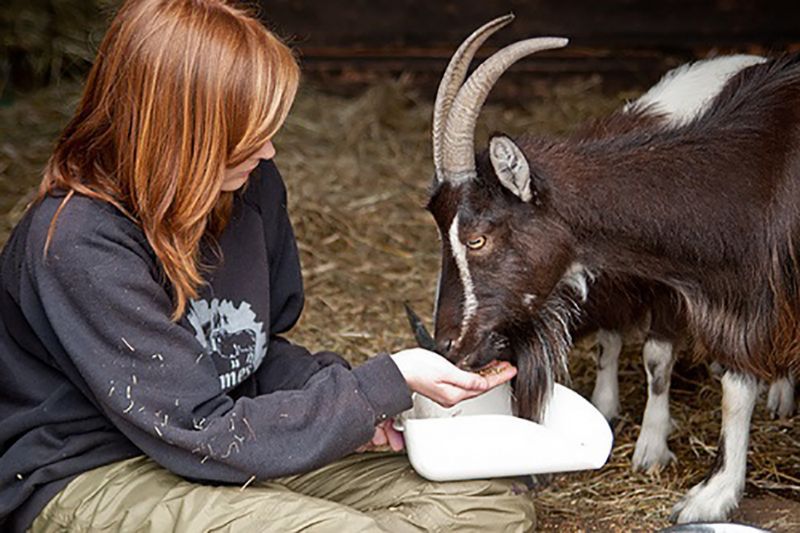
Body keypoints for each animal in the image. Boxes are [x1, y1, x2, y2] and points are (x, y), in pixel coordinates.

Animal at [424, 14, 800, 520]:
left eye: (476, 238)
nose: (447, 345)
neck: (749, 173)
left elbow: (669, 363)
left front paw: (673, 468)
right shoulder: (730, 291)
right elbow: (725, 382)